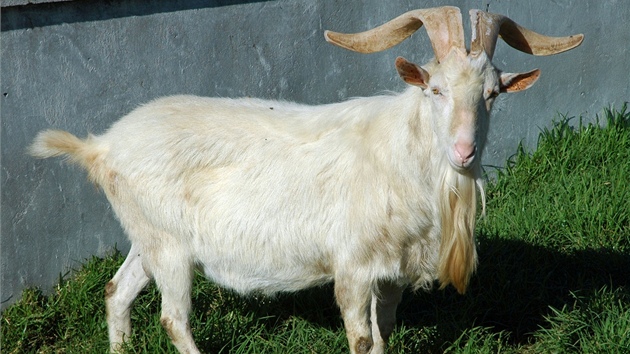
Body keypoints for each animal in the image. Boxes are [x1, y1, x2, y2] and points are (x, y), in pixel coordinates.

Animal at [28, 6, 584, 354]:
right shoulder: (353, 265)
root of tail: (101, 146)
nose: (464, 151)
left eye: (492, 93)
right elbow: (362, 337)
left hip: (149, 236)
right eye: (435, 89)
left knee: (116, 291)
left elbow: (385, 330)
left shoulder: (393, 270)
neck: (400, 153)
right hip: (168, 245)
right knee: (172, 318)